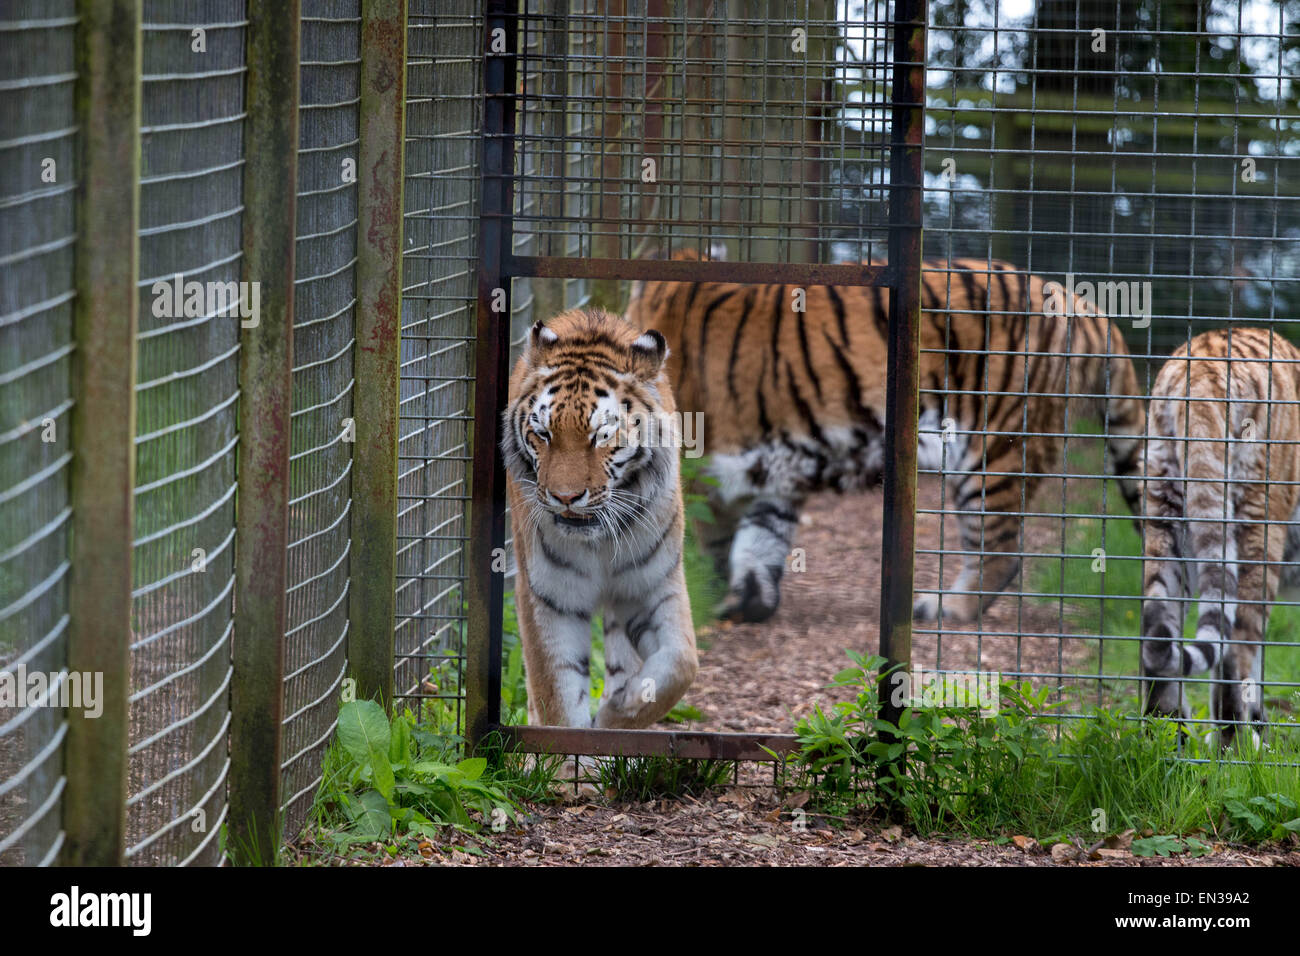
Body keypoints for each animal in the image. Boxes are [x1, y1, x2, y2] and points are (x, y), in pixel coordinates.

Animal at [499, 310, 702, 728]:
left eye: (602, 435)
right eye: (543, 434)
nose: (565, 497)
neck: (600, 540)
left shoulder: (653, 584)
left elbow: (682, 663)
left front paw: (617, 712)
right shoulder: (549, 597)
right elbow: (557, 698)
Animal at [629, 254, 1149, 624]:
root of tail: (1078, 303)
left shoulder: (704, 474)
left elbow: (706, 544)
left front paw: (714, 602)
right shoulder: (767, 476)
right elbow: (761, 540)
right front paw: (752, 602)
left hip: (993, 446)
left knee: (1000, 551)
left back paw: (946, 608)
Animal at [1138, 329, 1300, 749]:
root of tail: (1201, 365)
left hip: (1166, 519)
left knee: (1157, 631)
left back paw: (1167, 742)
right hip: (1257, 528)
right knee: (1236, 653)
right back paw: (1241, 748)